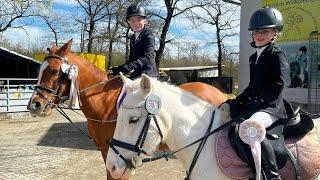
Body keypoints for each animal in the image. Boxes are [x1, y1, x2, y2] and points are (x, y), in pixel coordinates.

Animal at [27, 39, 228, 179]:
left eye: (54, 71)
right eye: (39, 71)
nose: (34, 105)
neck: (104, 100)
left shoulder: (117, 155)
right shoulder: (108, 153)